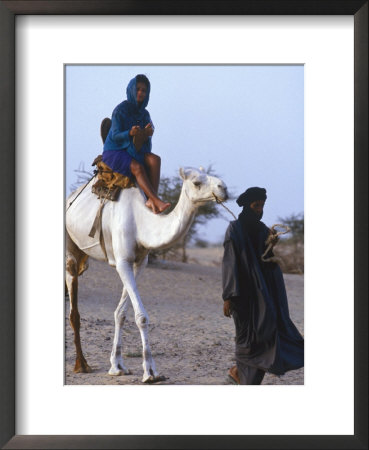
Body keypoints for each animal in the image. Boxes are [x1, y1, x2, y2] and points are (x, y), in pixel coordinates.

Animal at [66, 167, 227, 382]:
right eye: (196, 183)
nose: (223, 188)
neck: (140, 223)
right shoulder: (122, 261)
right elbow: (141, 317)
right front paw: (151, 372)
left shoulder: (139, 262)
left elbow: (120, 313)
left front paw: (117, 366)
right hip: (70, 247)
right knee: (73, 302)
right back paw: (81, 365)